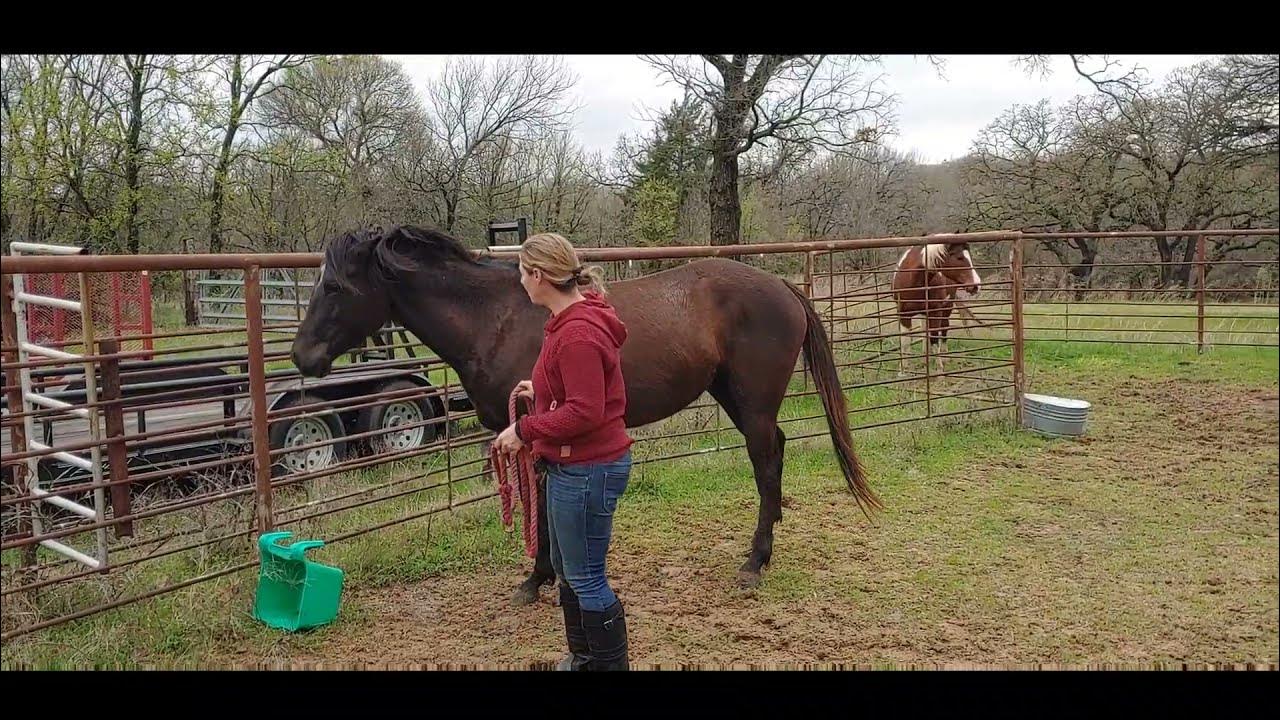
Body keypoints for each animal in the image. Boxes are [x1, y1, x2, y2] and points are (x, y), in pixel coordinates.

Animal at [289, 225, 882, 605]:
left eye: (335, 286)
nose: (301, 357)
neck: (493, 319)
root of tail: (781, 285)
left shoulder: (533, 432)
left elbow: (544, 508)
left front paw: (539, 581)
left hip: (752, 402)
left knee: (764, 461)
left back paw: (755, 561)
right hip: (734, 399)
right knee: (775, 453)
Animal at [890, 241, 982, 375]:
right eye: (959, 257)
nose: (976, 285)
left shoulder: (935, 312)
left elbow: (934, 338)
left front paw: (940, 370)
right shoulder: (903, 314)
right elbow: (905, 341)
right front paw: (903, 371)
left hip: (947, 307)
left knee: (943, 328)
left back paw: (944, 357)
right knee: (925, 330)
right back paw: (925, 359)